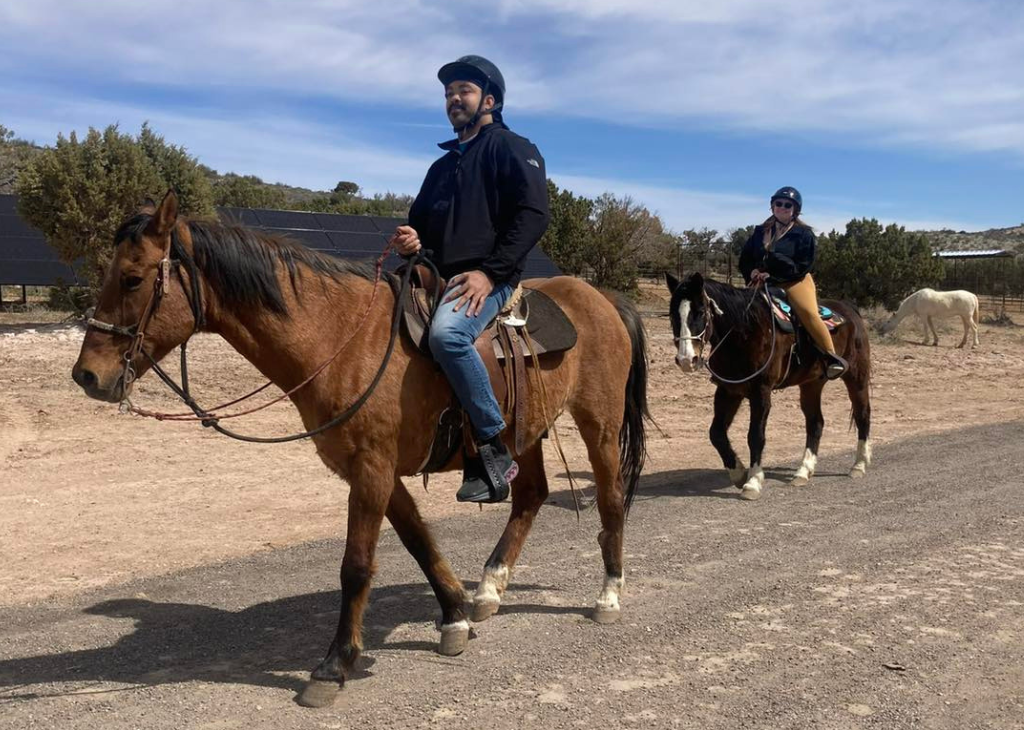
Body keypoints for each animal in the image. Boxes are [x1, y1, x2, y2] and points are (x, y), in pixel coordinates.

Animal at [71, 191, 651, 708]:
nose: (87, 376)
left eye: (133, 278)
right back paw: (489, 590)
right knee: (530, 495)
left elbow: (356, 566)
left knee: (610, 499)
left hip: (598, 424)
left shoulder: (372, 467)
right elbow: (418, 541)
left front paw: (334, 665)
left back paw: (608, 595)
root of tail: (602, 298)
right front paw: (456, 616)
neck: (339, 338)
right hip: (521, 431)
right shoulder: (372, 470)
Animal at [665, 272, 872, 500]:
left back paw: (859, 465)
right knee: (815, 422)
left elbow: (755, 436)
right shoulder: (728, 391)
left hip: (856, 377)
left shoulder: (760, 391)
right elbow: (716, 433)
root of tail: (849, 309)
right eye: (672, 314)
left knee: (862, 415)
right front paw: (738, 473)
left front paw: (753, 482)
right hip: (812, 384)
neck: (744, 331)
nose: (686, 360)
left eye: (700, 311)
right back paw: (803, 471)